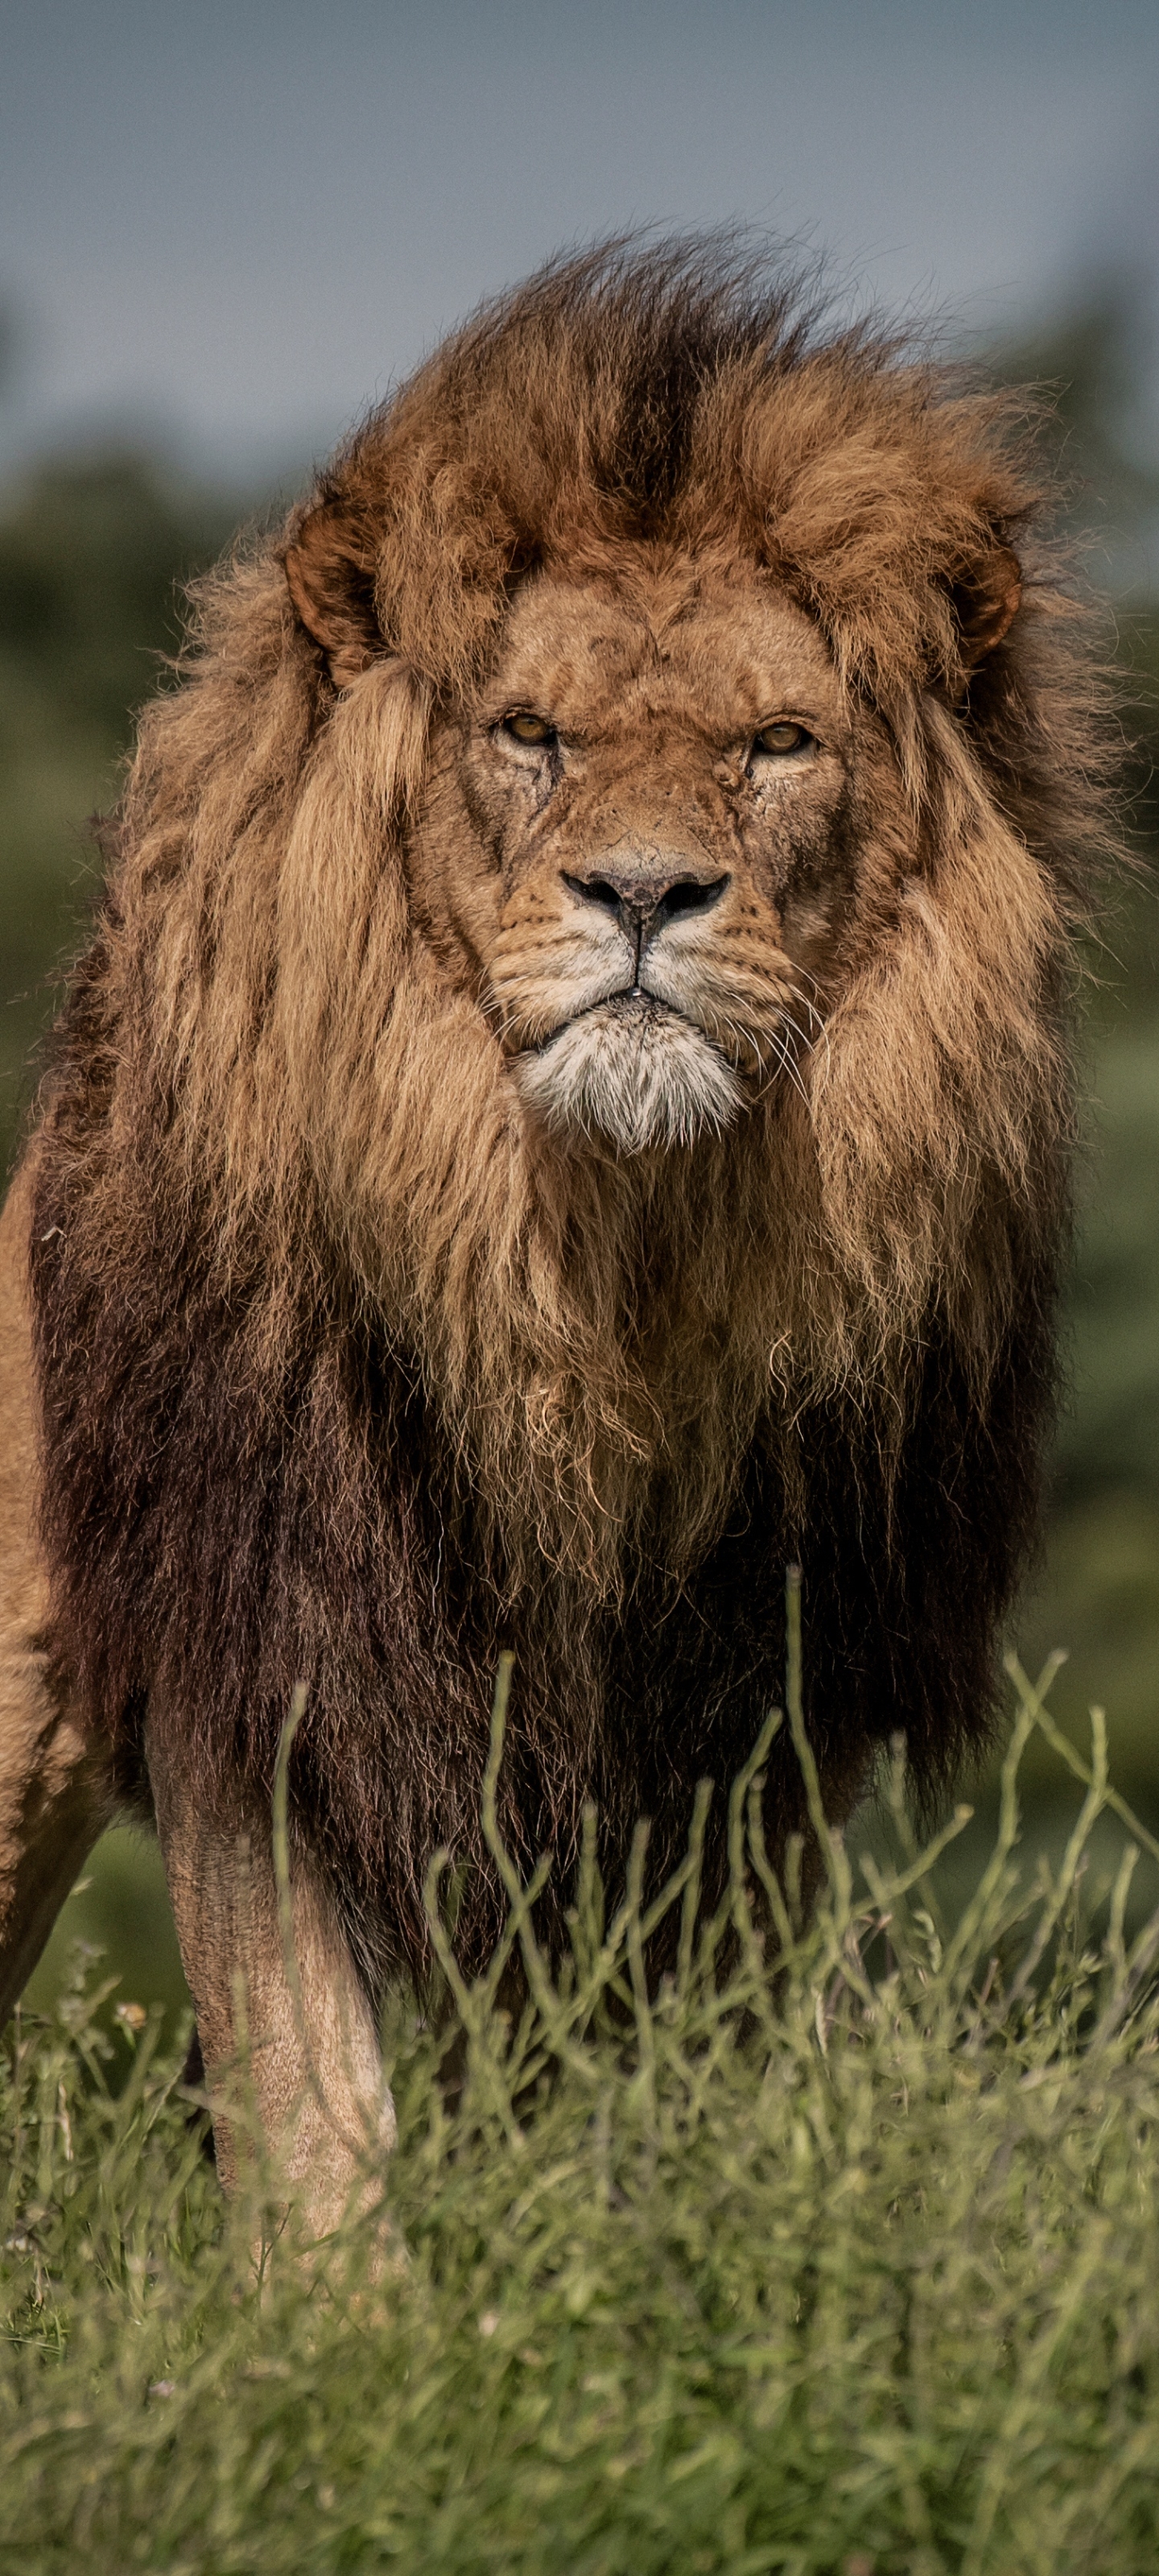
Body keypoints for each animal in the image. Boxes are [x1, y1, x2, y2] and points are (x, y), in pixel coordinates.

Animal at [0, 246, 1107, 2235]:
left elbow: (664, 2072)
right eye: (530, 735)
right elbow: (308, 2106)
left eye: (777, 744)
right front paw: (348, 2311)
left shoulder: (750, 1726)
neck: (597, 1267)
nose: (646, 892)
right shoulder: (259, 1641)